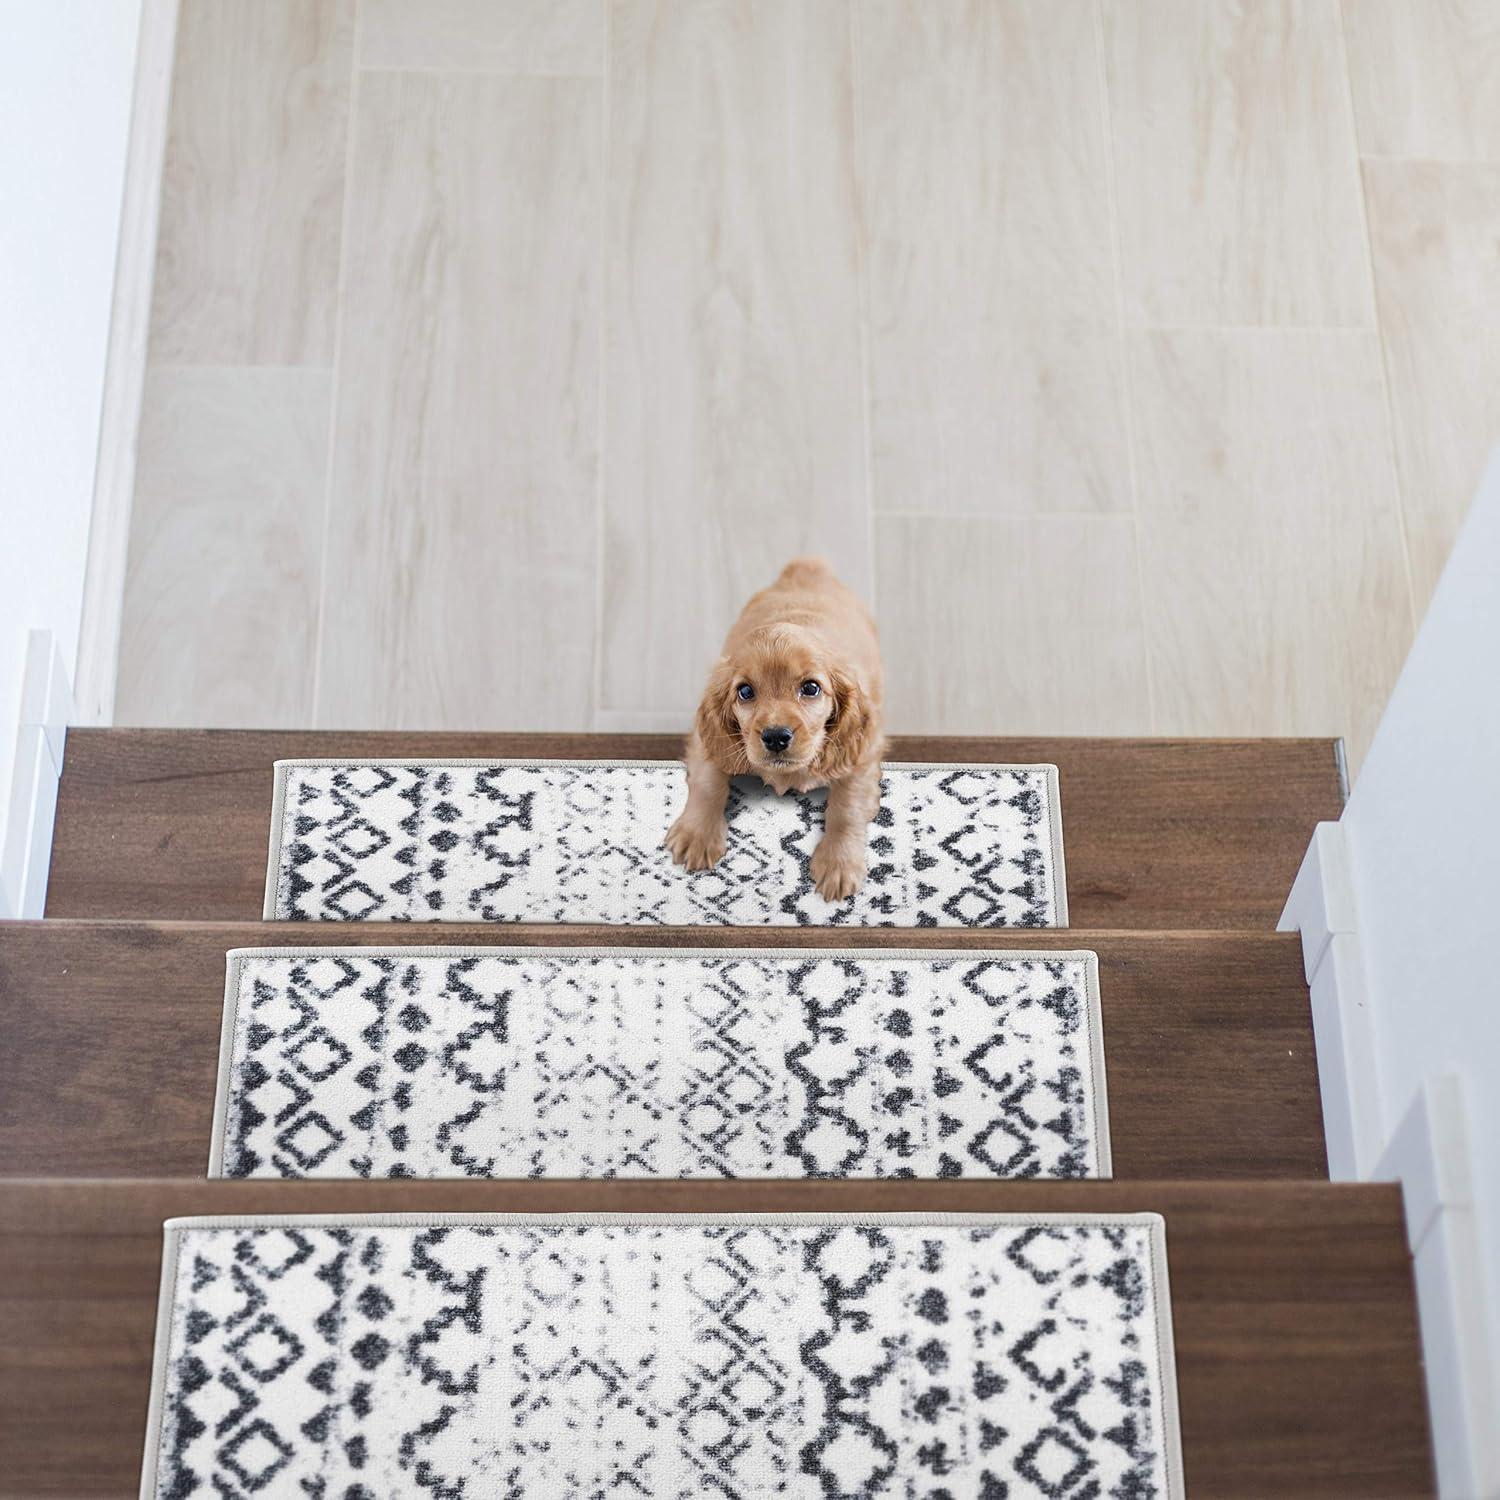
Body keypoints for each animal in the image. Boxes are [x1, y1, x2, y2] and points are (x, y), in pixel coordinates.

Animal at [666, 555, 876, 894]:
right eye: (745, 692)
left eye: (811, 688)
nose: (776, 737)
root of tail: (809, 566)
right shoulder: (706, 740)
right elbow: (708, 782)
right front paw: (697, 835)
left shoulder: (862, 752)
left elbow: (848, 806)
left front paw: (839, 864)